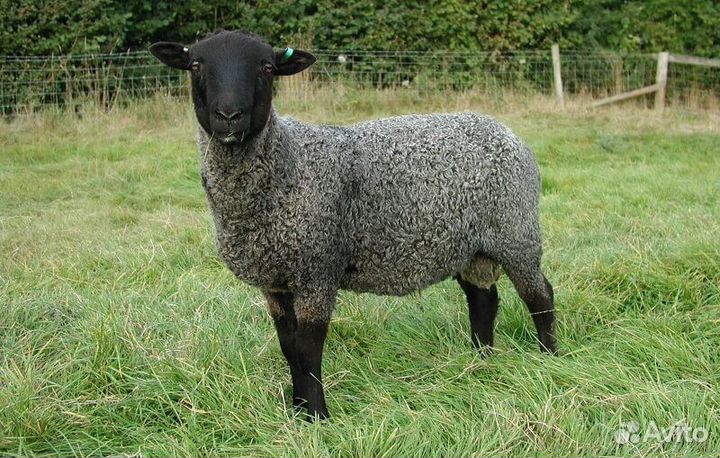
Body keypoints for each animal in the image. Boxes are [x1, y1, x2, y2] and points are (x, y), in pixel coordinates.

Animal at [150, 30, 557, 420]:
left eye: (266, 67)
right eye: (195, 65)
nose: (229, 116)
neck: (289, 163)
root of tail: (505, 131)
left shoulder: (316, 270)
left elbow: (308, 348)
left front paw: (317, 417)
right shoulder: (275, 282)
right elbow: (288, 347)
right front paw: (296, 409)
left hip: (516, 232)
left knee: (540, 296)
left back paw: (548, 357)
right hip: (471, 248)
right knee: (483, 299)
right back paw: (481, 360)